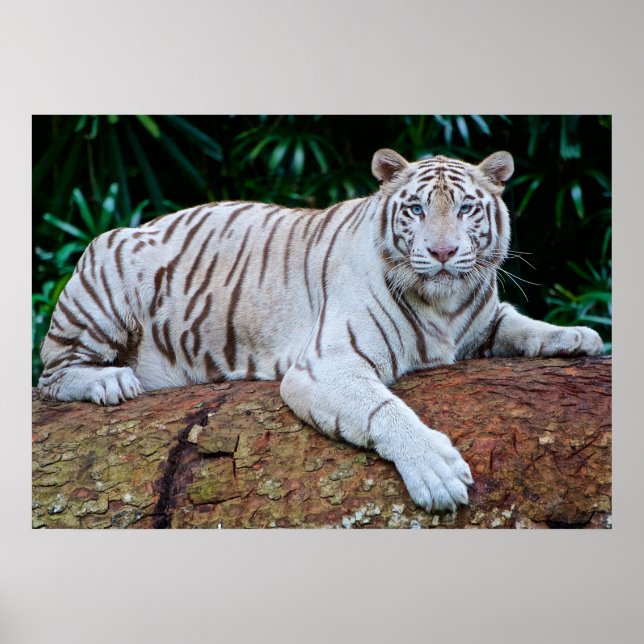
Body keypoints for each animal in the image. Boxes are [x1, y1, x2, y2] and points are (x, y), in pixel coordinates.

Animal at [38, 148, 603, 513]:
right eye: (416, 208)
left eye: (465, 208)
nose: (443, 252)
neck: (444, 304)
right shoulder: (329, 363)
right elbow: (385, 410)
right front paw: (437, 472)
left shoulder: (483, 320)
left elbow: (521, 323)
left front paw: (578, 335)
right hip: (106, 277)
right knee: (51, 375)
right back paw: (110, 381)